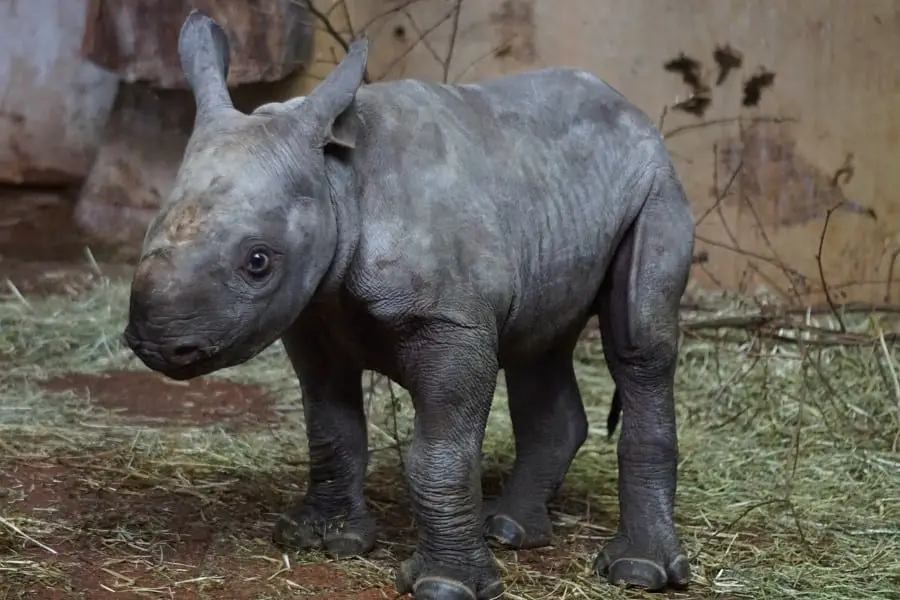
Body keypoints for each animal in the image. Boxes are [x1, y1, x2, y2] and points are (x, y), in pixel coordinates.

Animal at [121, 10, 696, 600]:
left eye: (258, 261)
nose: (157, 344)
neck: (337, 181)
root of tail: (632, 109)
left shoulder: (451, 323)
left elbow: (440, 453)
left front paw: (446, 586)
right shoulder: (312, 314)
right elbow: (330, 427)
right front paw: (323, 539)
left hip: (656, 185)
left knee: (639, 345)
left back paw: (637, 571)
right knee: (539, 340)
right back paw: (509, 530)